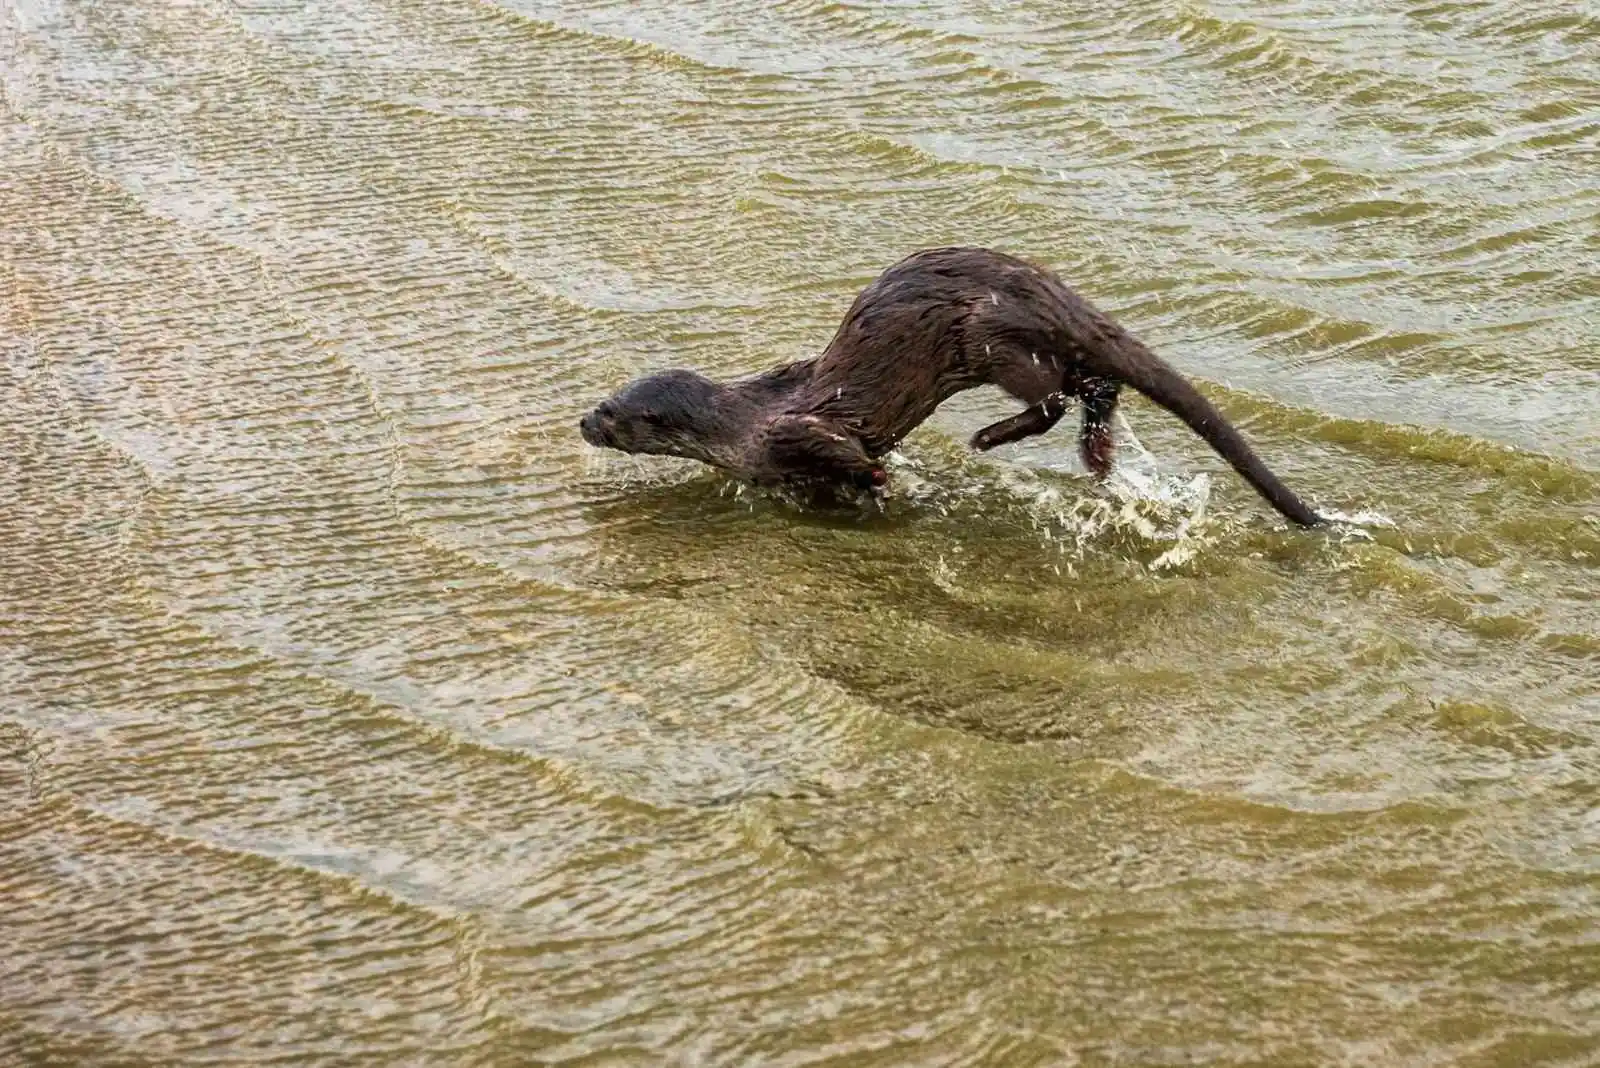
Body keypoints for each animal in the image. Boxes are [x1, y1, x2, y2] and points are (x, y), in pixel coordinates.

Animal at [582, 243, 1318, 524]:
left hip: (990, 339)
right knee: (1098, 386)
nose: (581, 421)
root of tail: (1046, 289)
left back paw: (991, 438)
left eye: (611, 411)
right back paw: (1097, 454)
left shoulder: (793, 432)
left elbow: (844, 452)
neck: (742, 427)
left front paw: (876, 479)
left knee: (1055, 394)